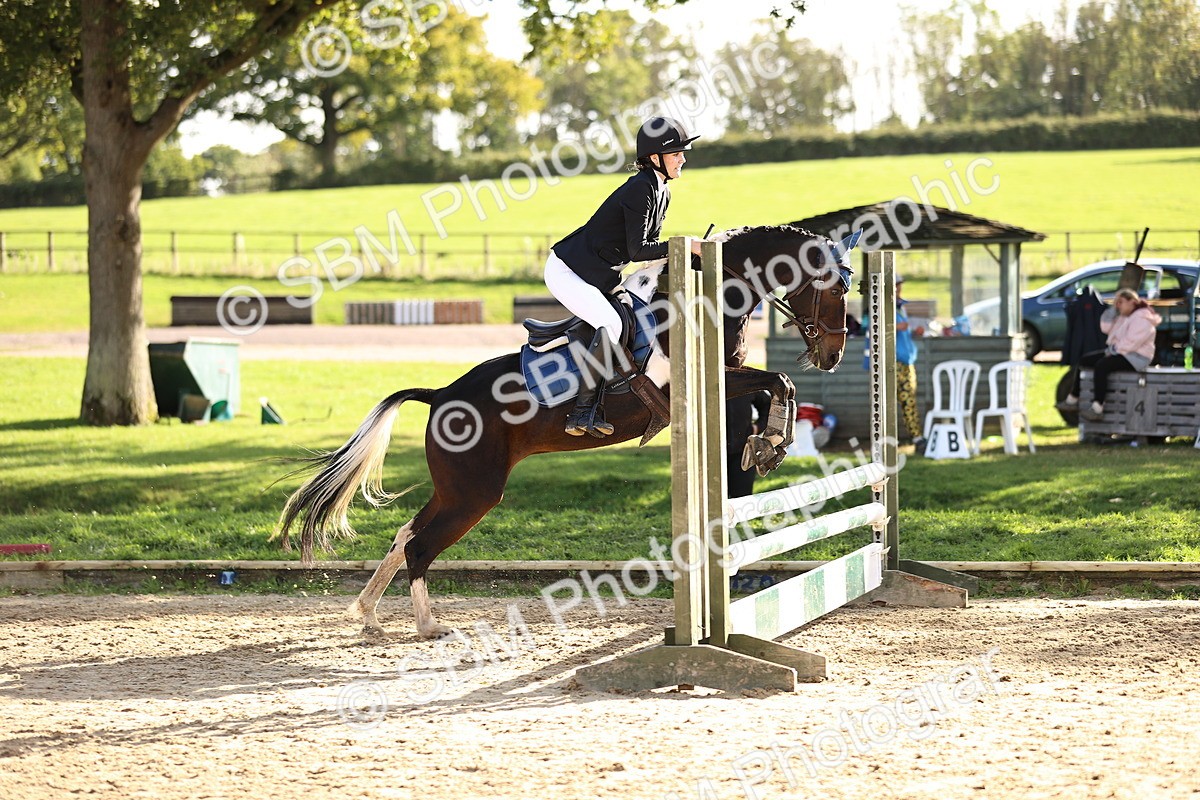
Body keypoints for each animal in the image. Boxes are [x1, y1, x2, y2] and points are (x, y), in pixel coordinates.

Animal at [276, 224, 854, 639]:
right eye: (833, 289)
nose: (833, 355)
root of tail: (440, 395)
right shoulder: (702, 381)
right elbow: (774, 381)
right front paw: (769, 442)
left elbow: (775, 385)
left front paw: (767, 444)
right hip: (475, 493)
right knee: (420, 547)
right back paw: (427, 626)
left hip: (456, 488)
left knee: (405, 534)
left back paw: (370, 614)